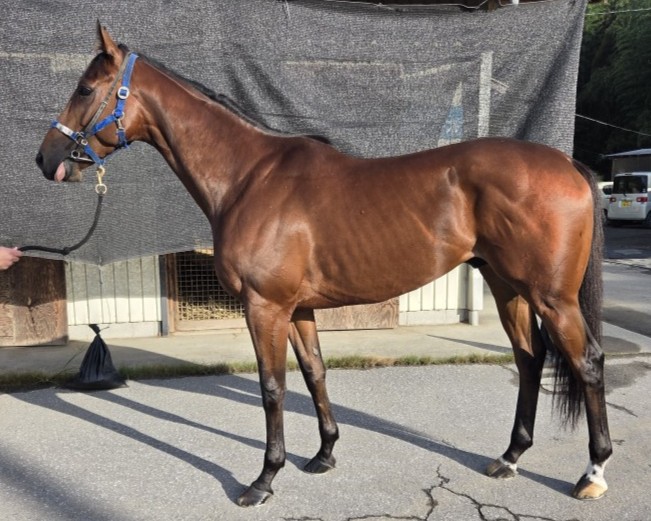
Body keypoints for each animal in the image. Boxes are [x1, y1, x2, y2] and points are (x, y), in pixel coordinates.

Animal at [36, 23, 612, 507]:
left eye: (85, 89)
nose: (46, 159)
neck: (248, 177)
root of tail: (569, 164)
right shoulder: (297, 309)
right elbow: (314, 373)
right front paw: (324, 454)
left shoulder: (264, 307)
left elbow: (272, 388)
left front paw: (263, 480)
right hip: (506, 284)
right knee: (529, 359)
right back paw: (510, 457)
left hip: (552, 297)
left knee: (587, 362)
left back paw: (592, 473)